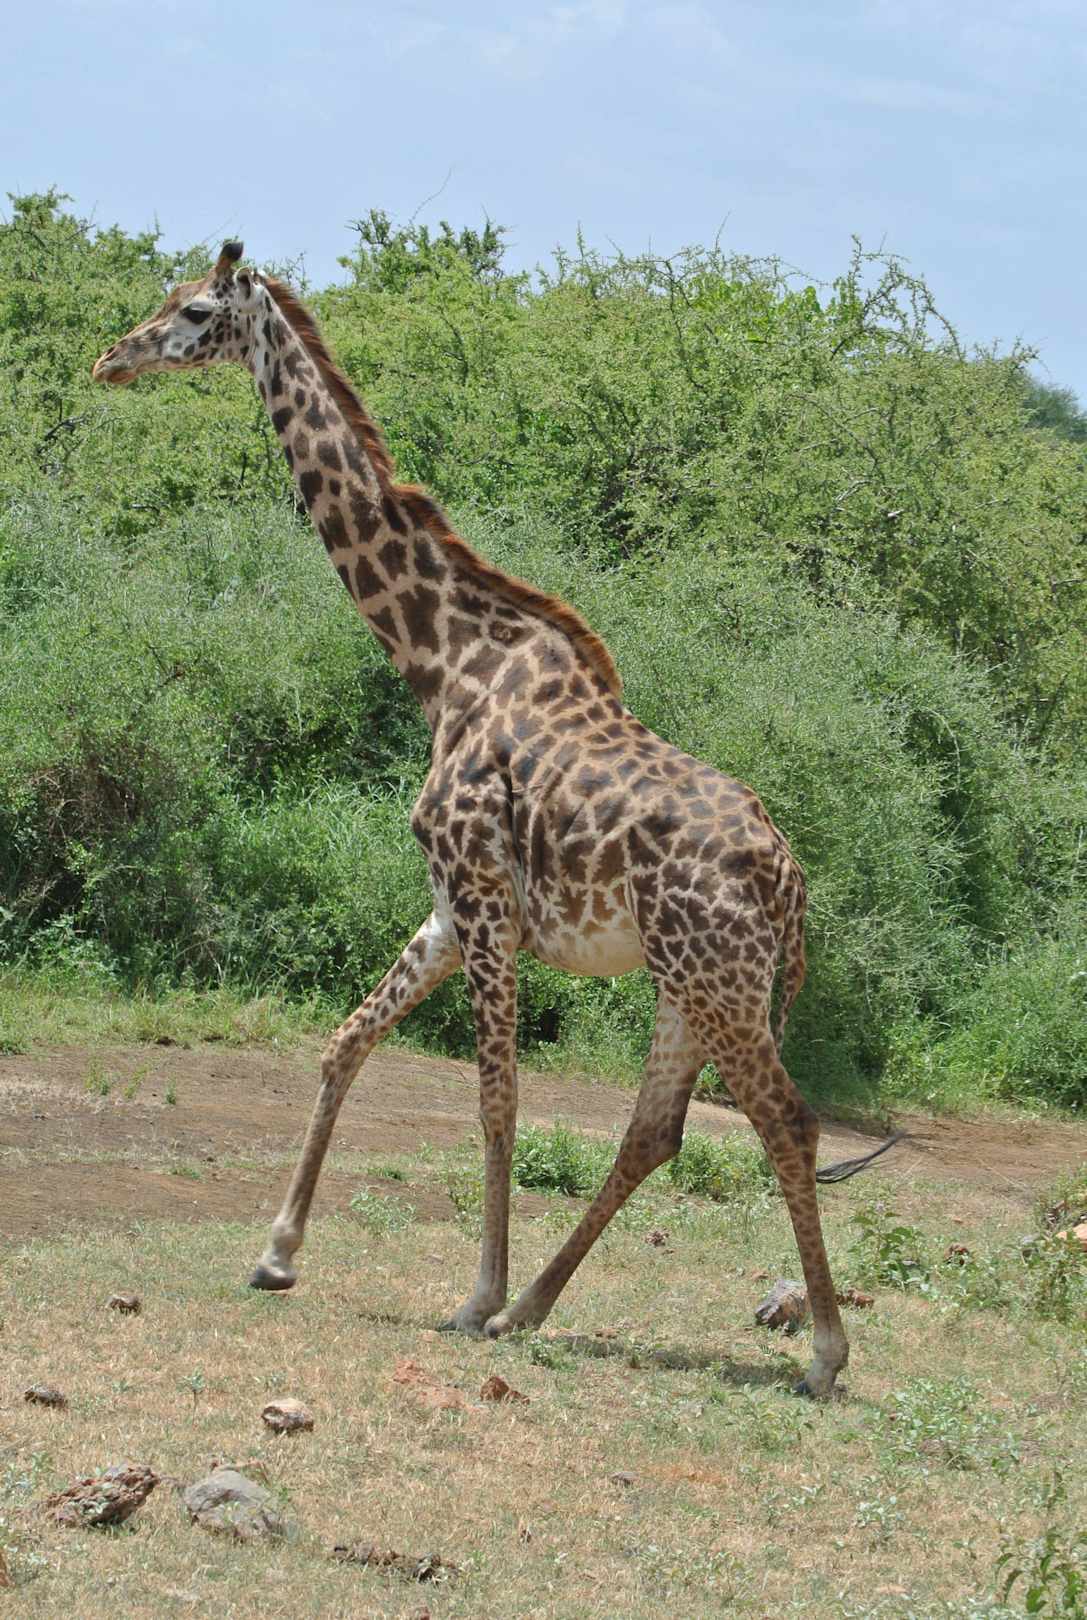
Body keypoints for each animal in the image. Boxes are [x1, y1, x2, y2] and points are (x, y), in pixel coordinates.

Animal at [93, 240, 899, 1397]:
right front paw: (278, 1254)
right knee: (656, 1132)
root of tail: (790, 881)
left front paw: (468, 1295)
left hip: (716, 982)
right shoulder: (444, 906)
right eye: (163, 301)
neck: (443, 663)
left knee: (780, 1118)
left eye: (195, 311)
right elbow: (343, 1043)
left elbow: (495, 1099)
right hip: (687, 985)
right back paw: (534, 1309)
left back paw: (820, 1351)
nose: (112, 359)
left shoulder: (482, 903)